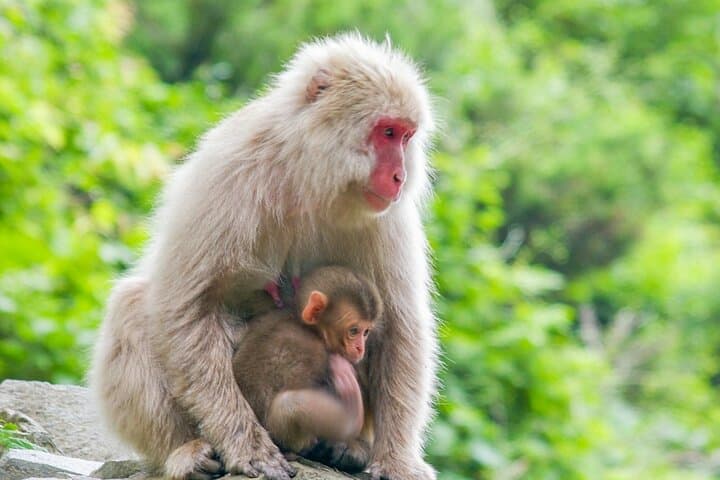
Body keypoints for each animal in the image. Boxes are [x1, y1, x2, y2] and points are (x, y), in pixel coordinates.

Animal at [232, 266, 381, 472]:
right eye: (354, 331)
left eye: (366, 332)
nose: (361, 348)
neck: (306, 326)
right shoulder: (316, 352)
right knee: (289, 404)